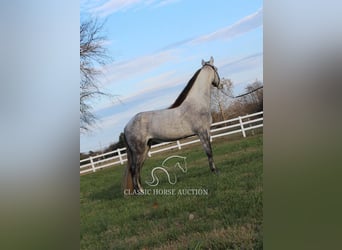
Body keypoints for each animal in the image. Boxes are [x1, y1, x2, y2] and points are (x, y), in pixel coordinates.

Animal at [123, 56, 222, 193]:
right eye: (216, 69)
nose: (219, 84)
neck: (197, 103)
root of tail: (127, 126)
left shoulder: (205, 132)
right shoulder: (202, 132)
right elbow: (209, 152)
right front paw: (215, 171)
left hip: (145, 149)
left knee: (138, 170)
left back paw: (142, 190)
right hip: (139, 151)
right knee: (134, 170)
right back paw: (140, 192)